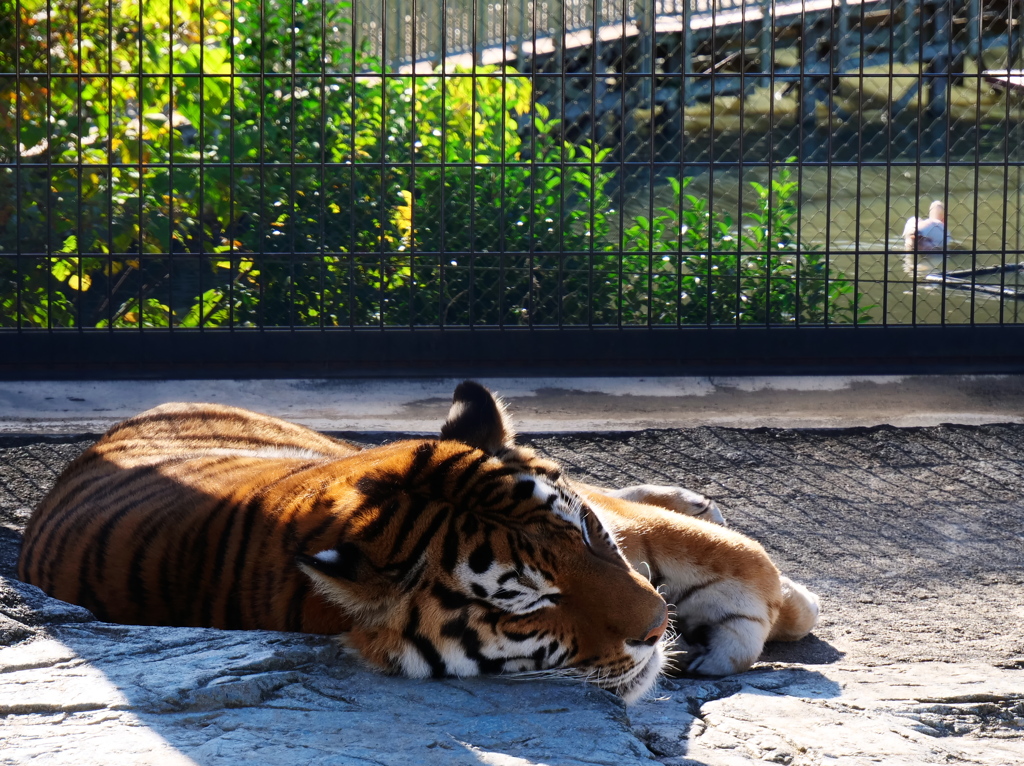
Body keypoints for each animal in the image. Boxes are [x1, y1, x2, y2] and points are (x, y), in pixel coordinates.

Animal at [16, 380, 819, 704]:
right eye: (531, 605)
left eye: (585, 537)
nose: (657, 629)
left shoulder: (609, 522)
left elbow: (734, 556)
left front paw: (782, 605)